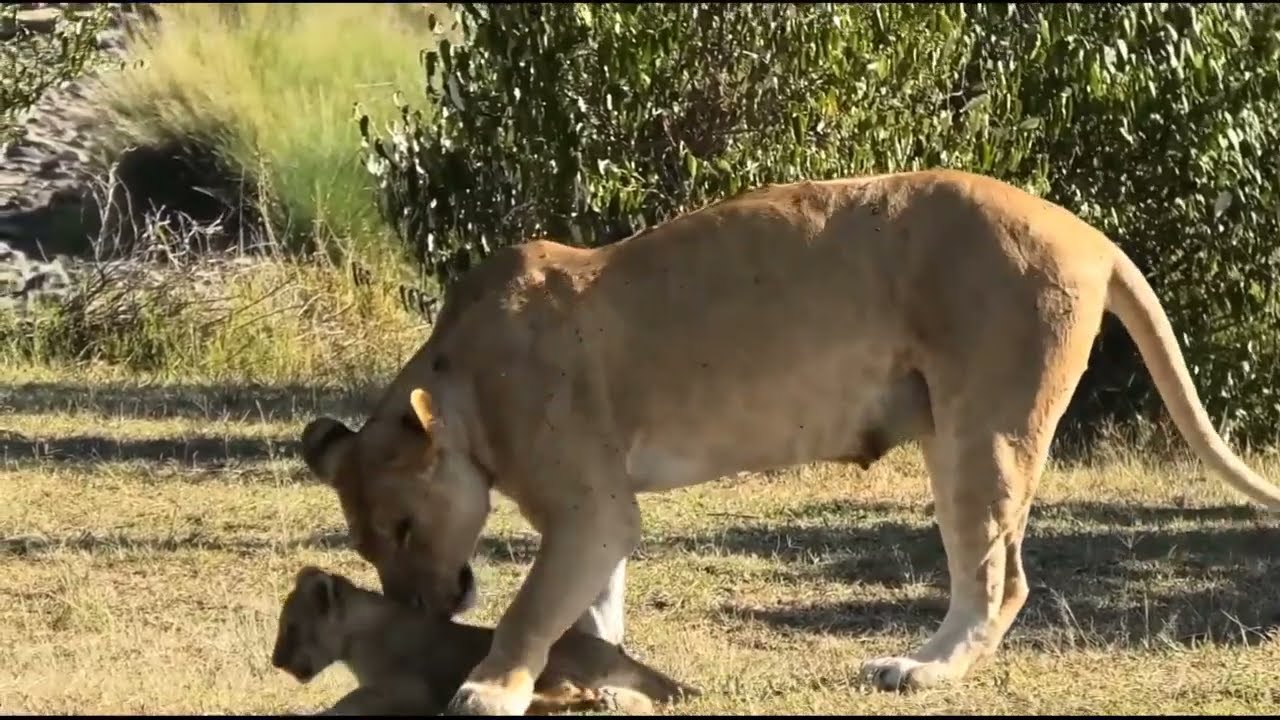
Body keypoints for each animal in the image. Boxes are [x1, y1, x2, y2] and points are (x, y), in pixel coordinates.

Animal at [270, 566, 698, 715]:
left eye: (290, 627)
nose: (276, 663)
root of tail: (626, 658)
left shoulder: (409, 689)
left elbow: (345, 704)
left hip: (550, 660)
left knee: (564, 691)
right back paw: (603, 702)